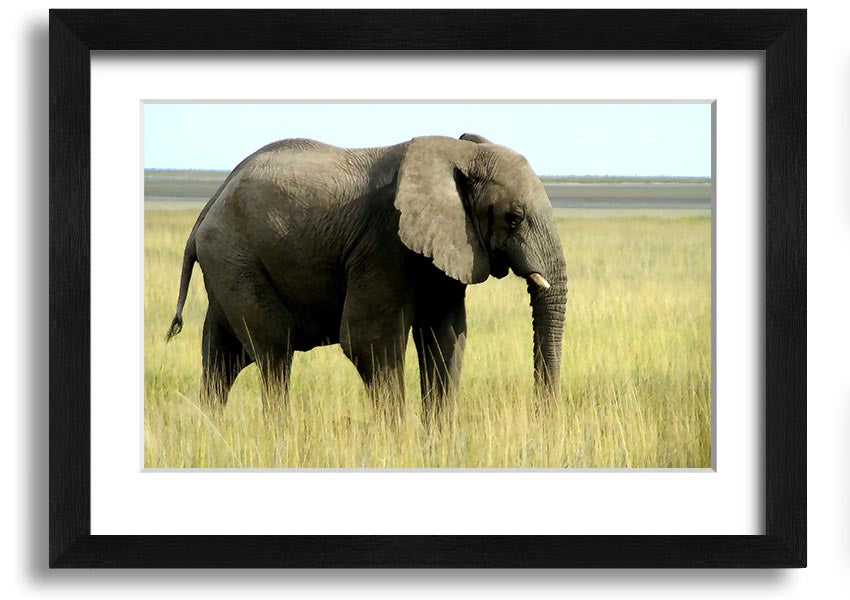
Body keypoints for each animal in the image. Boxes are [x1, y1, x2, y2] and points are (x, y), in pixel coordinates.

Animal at [163, 134, 568, 420]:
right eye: (514, 218)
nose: (541, 420)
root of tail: (207, 209)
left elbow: (446, 336)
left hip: (228, 266)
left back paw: (212, 431)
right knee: (274, 352)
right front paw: (399, 444)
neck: (457, 153)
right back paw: (279, 435)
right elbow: (369, 342)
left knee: (223, 357)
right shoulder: (384, 241)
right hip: (236, 259)